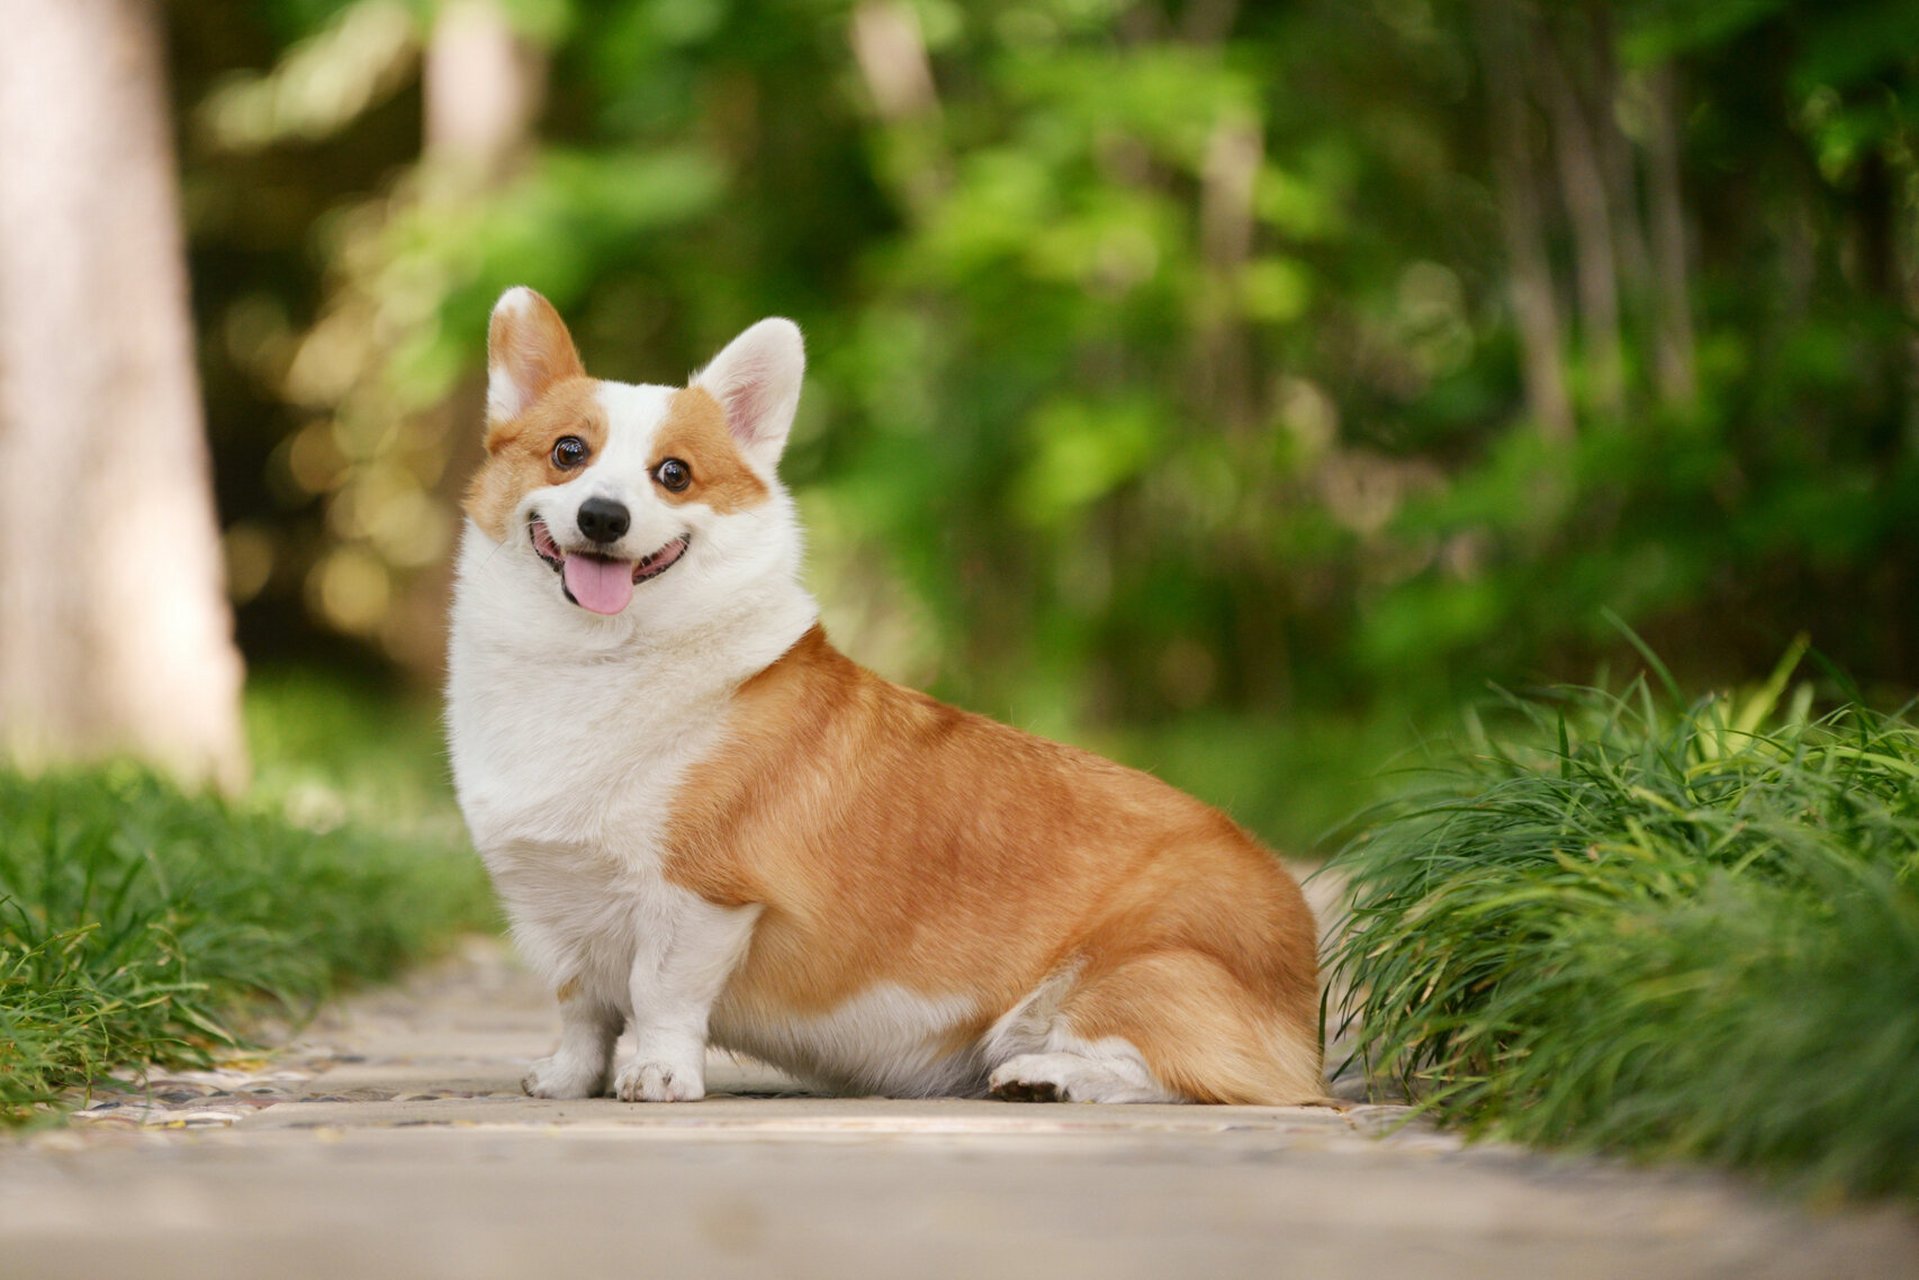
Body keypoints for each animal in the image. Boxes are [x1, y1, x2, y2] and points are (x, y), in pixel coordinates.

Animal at [443, 287, 1327, 1105]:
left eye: (673, 474)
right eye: (566, 453)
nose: (603, 517)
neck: (596, 660)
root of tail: (1302, 968)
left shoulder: (702, 897)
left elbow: (659, 994)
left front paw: (659, 1074)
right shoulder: (561, 914)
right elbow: (581, 1009)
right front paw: (567, 1078)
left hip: (1126, 980)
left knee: (1192, 1077)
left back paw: (1047, 1077)